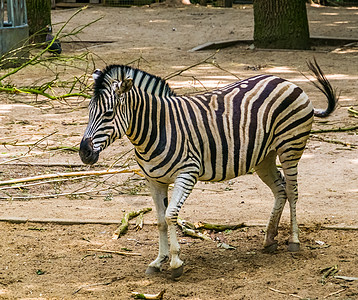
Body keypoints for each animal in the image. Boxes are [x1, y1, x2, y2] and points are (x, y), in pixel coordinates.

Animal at [79, 59, 338, 280]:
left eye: (109, 114)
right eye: (89, 111)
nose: (84, 153)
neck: (157, 128)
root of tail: (285, 80)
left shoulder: (187, 173)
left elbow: (171, 216)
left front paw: (175, 263)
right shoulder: (154, 180)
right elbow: (161, 220)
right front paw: (158, 261)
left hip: (290, 148)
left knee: (293, 192)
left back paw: (294, 241)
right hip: (264, 156)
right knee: (280, 190)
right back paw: (269, 239)